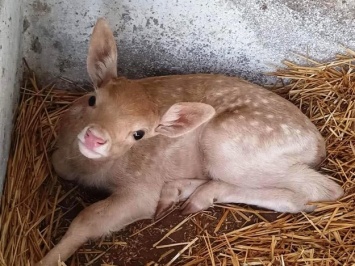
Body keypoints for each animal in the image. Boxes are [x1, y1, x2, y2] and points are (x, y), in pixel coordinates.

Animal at [36, 17, 344, 264]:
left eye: (139, 133)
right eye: (92, 99)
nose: (95, 138)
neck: (92, 169)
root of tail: (318, 143)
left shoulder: (140, 190)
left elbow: (87, 219)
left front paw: (48, 259)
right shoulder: (62, 154)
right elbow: (59, 164)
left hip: (229, 144)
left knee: (320, 191)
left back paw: (201, 196)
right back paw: (180, 190)